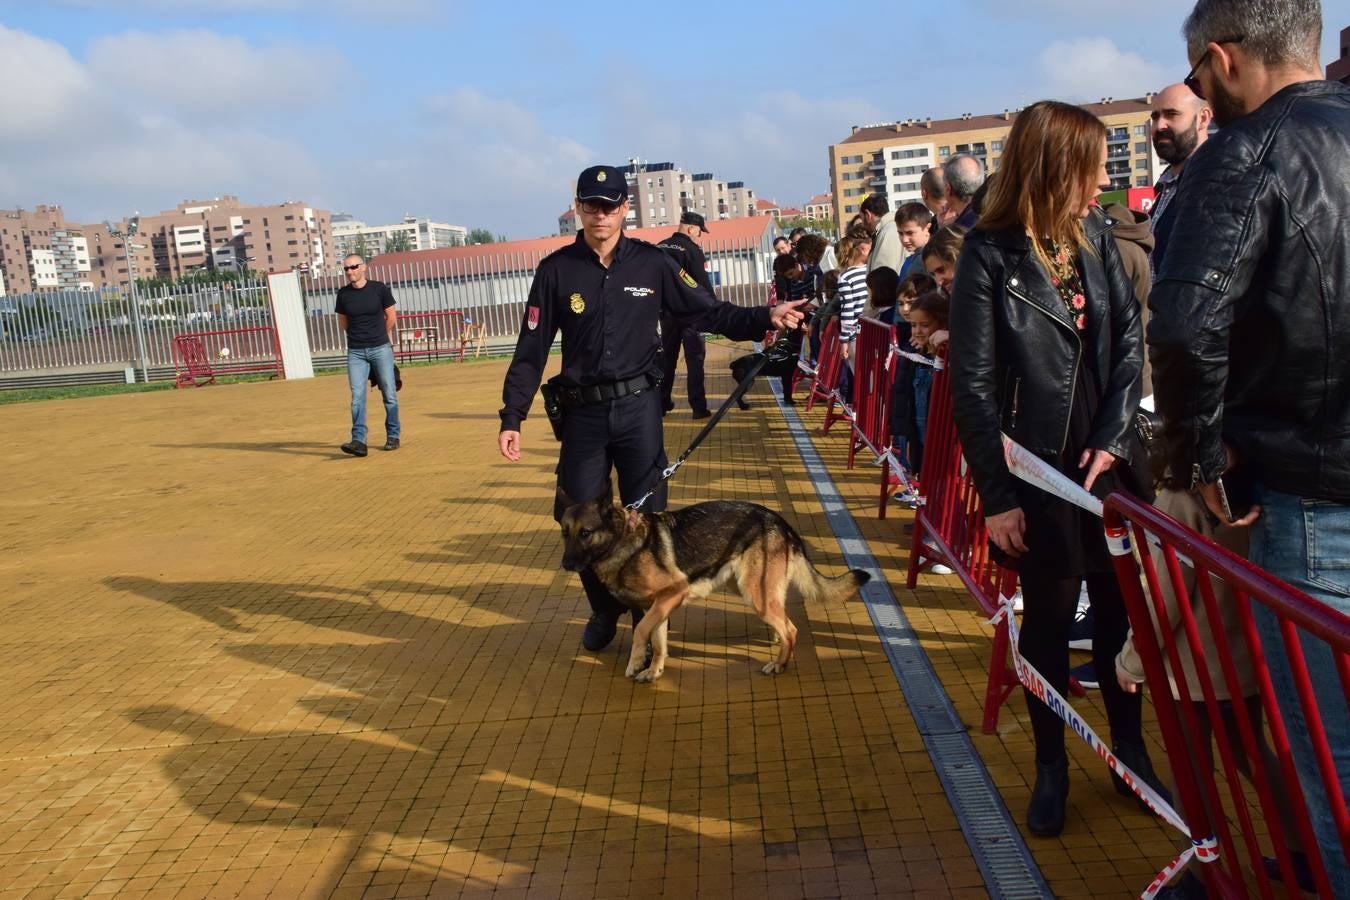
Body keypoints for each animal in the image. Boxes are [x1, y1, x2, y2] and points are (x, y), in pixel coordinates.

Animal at [556, 485, 864, 682]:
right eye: (565, 533)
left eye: (586, 533)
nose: (566, 564)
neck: (623, 539)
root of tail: (781, 522)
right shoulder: (659, 607)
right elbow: (658, 641)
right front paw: (654, 671)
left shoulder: (671, 595)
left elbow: (641, 630)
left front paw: (635, 663)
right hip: (751, 589)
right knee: (784, 620)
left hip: (755, 595)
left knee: (791, 629)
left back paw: (779, 664)